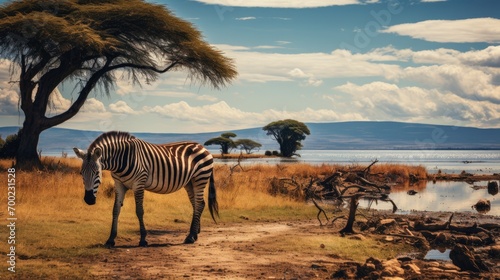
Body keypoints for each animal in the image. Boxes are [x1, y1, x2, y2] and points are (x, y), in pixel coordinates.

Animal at [73, 131, 218, 247]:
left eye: (97, 173)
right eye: (81, 173)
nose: (89, 200)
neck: (121, 161)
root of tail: (202, 147)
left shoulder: (139, 183)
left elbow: (139, 211)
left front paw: (143, 239)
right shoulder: (119, 184)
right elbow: (115, 210)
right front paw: (110, 239)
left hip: (200, 178)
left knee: (199, 204)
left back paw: (190, 237)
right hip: (189, 182)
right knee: (198, 204)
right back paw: (195, 233)